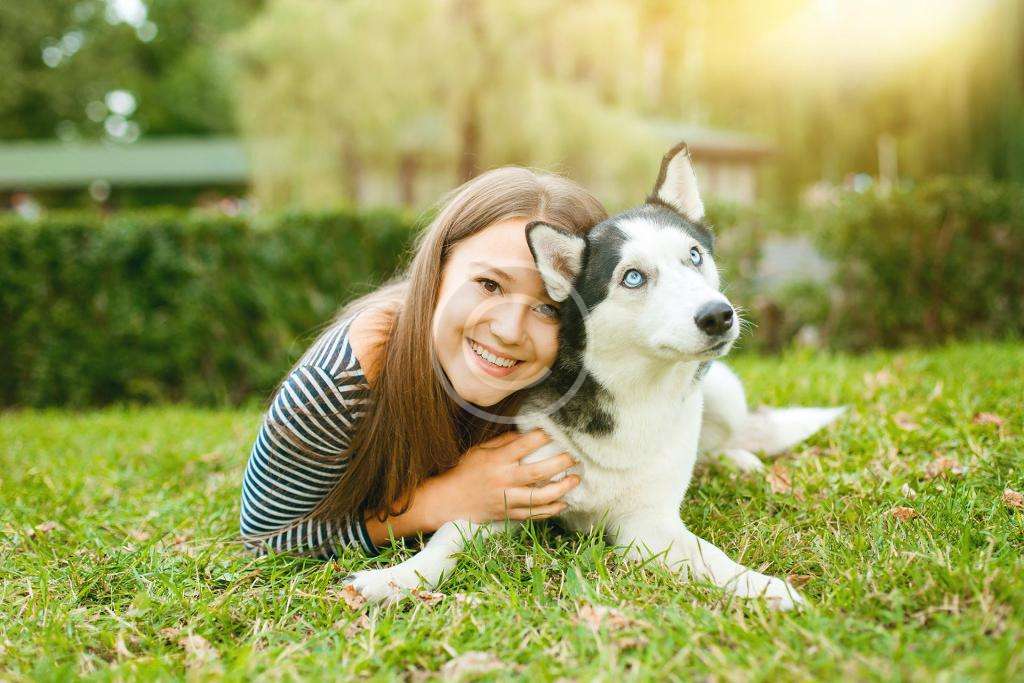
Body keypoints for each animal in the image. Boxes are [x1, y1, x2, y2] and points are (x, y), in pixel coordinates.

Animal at [346, 142, 843, 610]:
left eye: (694, 256)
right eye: (633, 277)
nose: (718, 316)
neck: (636, 394)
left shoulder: (648, 526)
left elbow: (712, 557)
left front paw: (763, 587)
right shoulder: (503, 494)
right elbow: (444, 542)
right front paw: (393, 579)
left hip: (723, 389)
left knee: (726, 438)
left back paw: (739, 461)